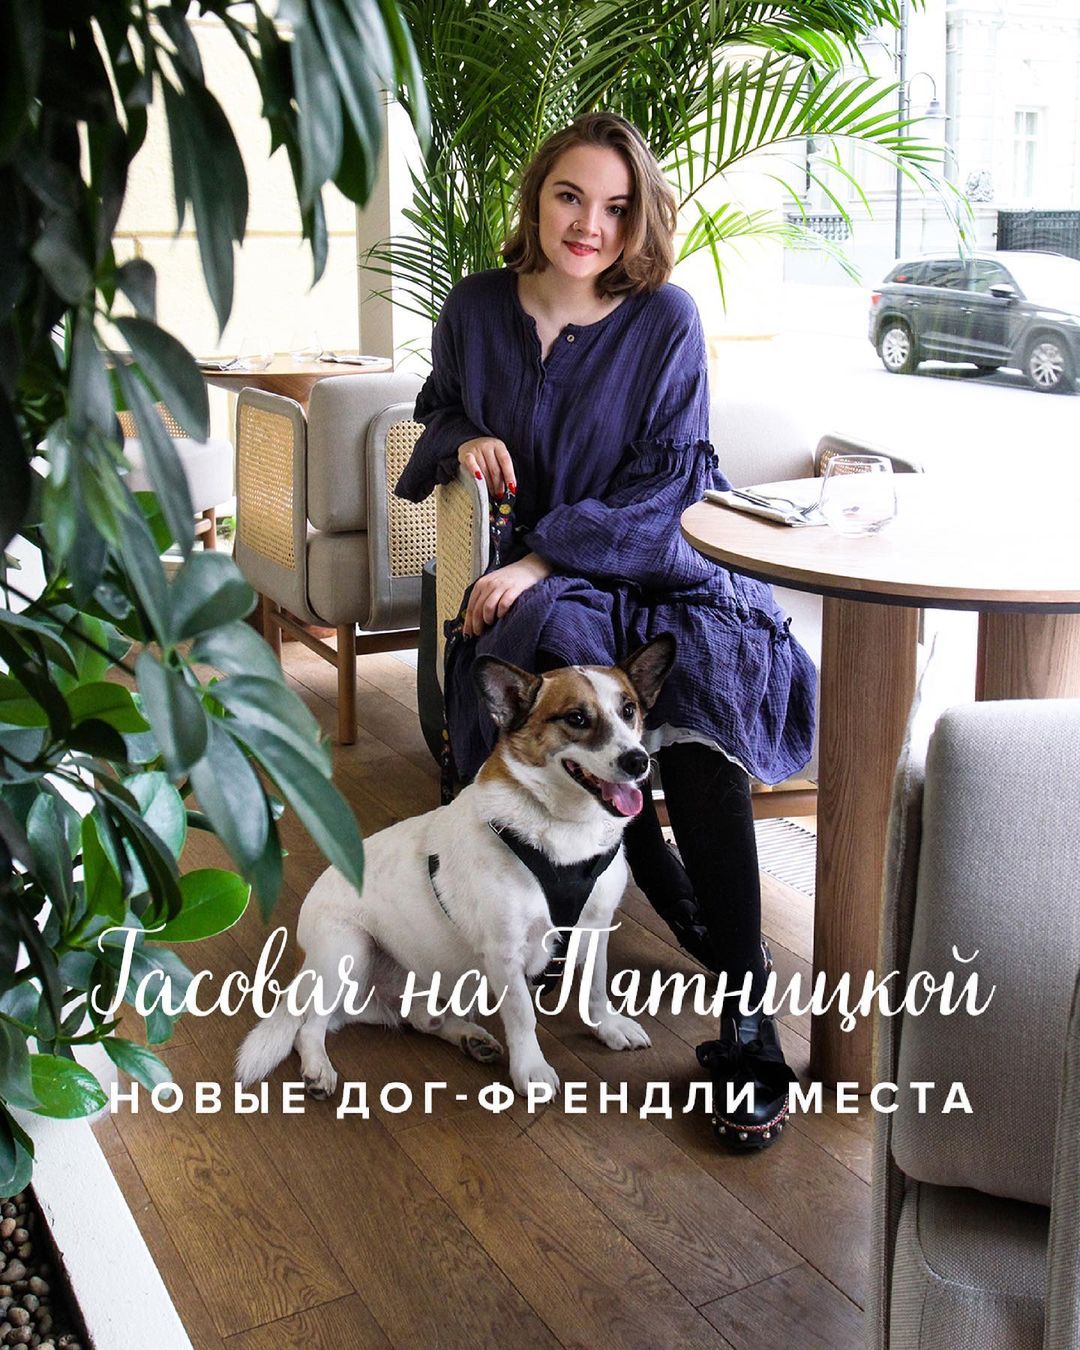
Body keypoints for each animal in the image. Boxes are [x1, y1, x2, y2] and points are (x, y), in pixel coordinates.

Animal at [235, 633, 675, 1100]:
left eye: (629, 710)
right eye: (576, 718)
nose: (639, 761)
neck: (565, 830)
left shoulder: (594, 928)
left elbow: (594, 987)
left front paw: (607, 1027)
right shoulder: (504, 951)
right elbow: (523, 1015)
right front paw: (531, 1068)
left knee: (419, 1017)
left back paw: (469, 1037)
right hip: (348, 950)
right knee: (309, 1027)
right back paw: (318, 1067)